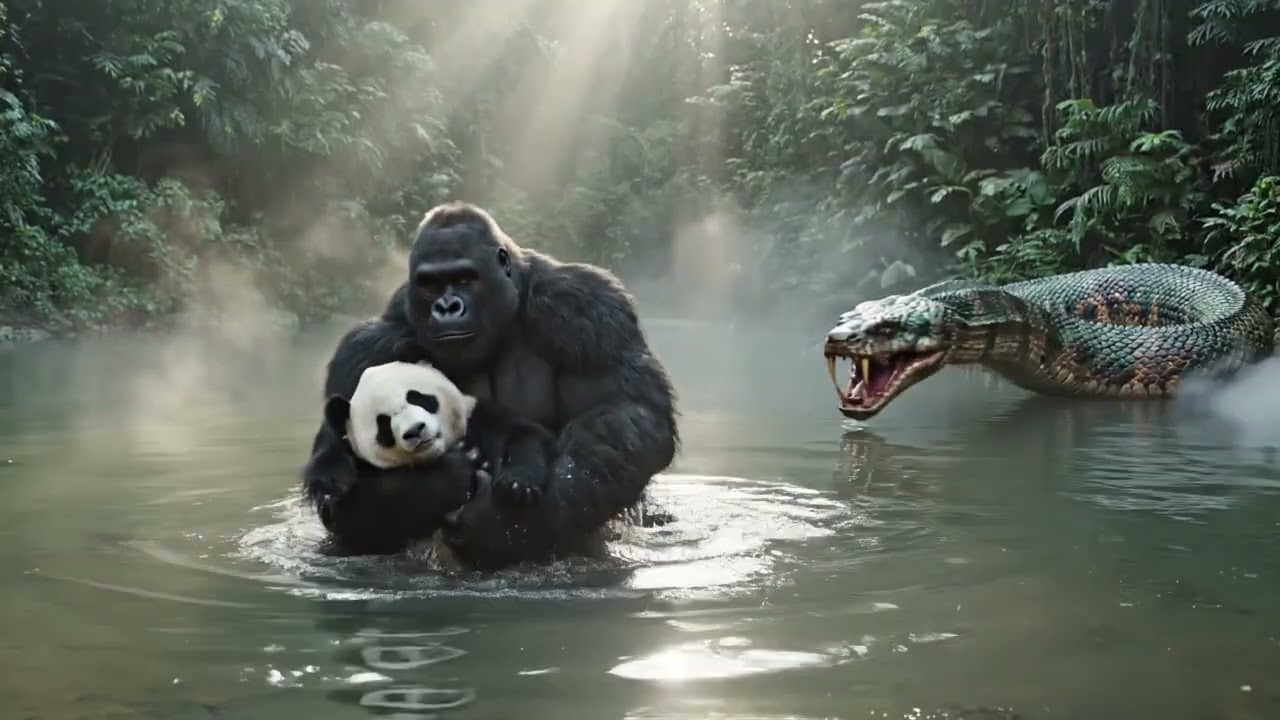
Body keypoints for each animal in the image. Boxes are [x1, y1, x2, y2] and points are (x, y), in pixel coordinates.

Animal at [317, 358, 555, 565]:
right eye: (383, 423)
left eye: (416, 397)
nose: (415, 430)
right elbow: (358, 513)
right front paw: (456, 472)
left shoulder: (478, 416)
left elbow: (522, 434)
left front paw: (516, 484)